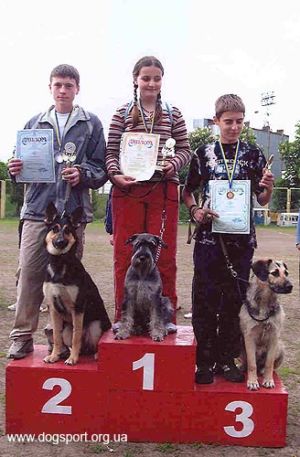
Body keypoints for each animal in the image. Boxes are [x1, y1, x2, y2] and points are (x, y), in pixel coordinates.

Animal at [43, 202, 111, 364]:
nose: (60, 242)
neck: (60, 263)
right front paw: (54, 356)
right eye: (54, 229)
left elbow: (77, 335)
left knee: (92, 343)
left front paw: (73, 359)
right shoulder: (53, 308)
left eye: (68, 230)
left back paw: (94, 354)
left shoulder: (78, 308)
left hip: (95, 327)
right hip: (66, 330)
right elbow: (56, 335)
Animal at [239, 258, 292, 390]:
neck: (265, 301)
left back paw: (263, 371)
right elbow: (252, 364)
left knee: (267, 365)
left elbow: (269, 363)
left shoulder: (274, 337)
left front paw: (268, 380)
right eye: (275, 273)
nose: (290, 286)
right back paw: (243, 368)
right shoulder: (249, 337)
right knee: (250, 363)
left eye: (286, 273)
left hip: (280, 347)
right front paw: (252, 381)